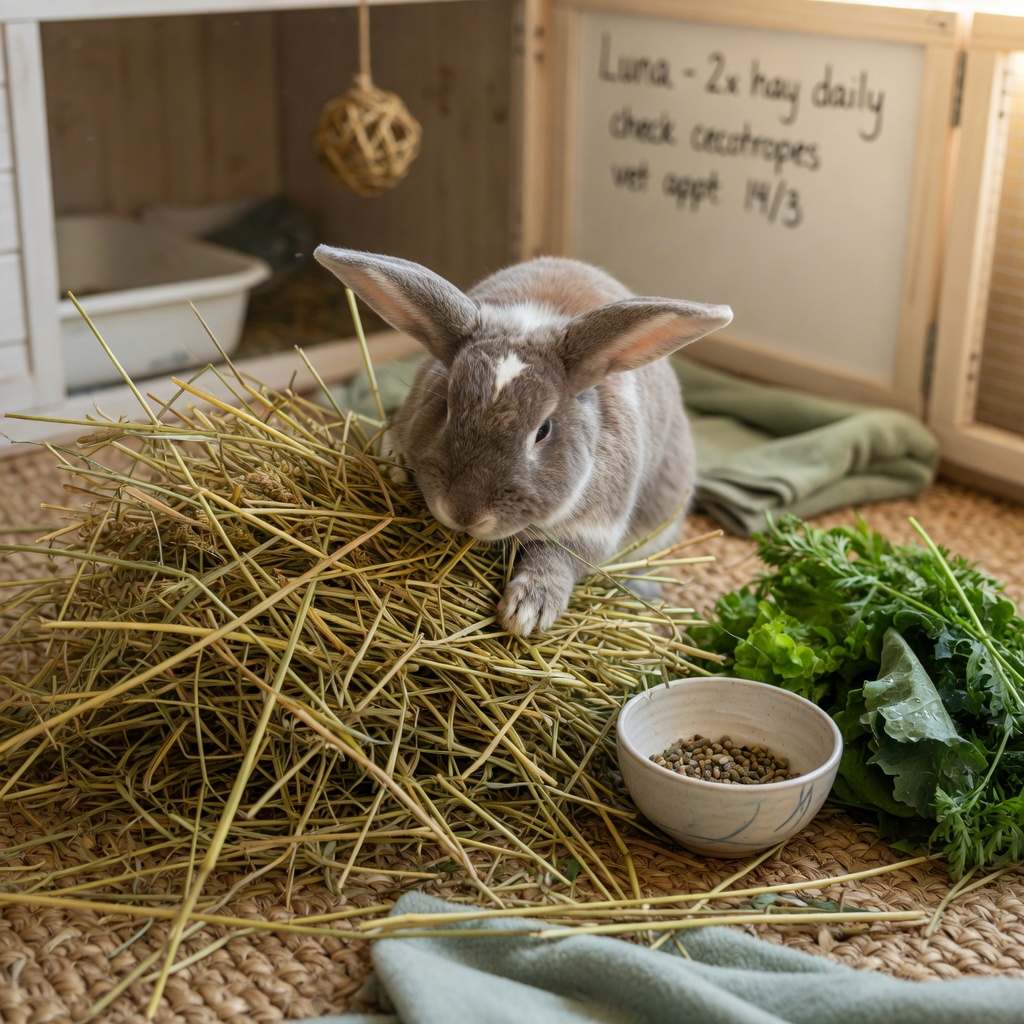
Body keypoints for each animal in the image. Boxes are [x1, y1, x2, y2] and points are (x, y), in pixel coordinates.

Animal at [314, 246, 732, 635]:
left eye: (543, 431)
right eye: (446, 404)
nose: (464, 514)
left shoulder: (596, 528)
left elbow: (560, 559)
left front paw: (528, 611)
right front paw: (395, 464)